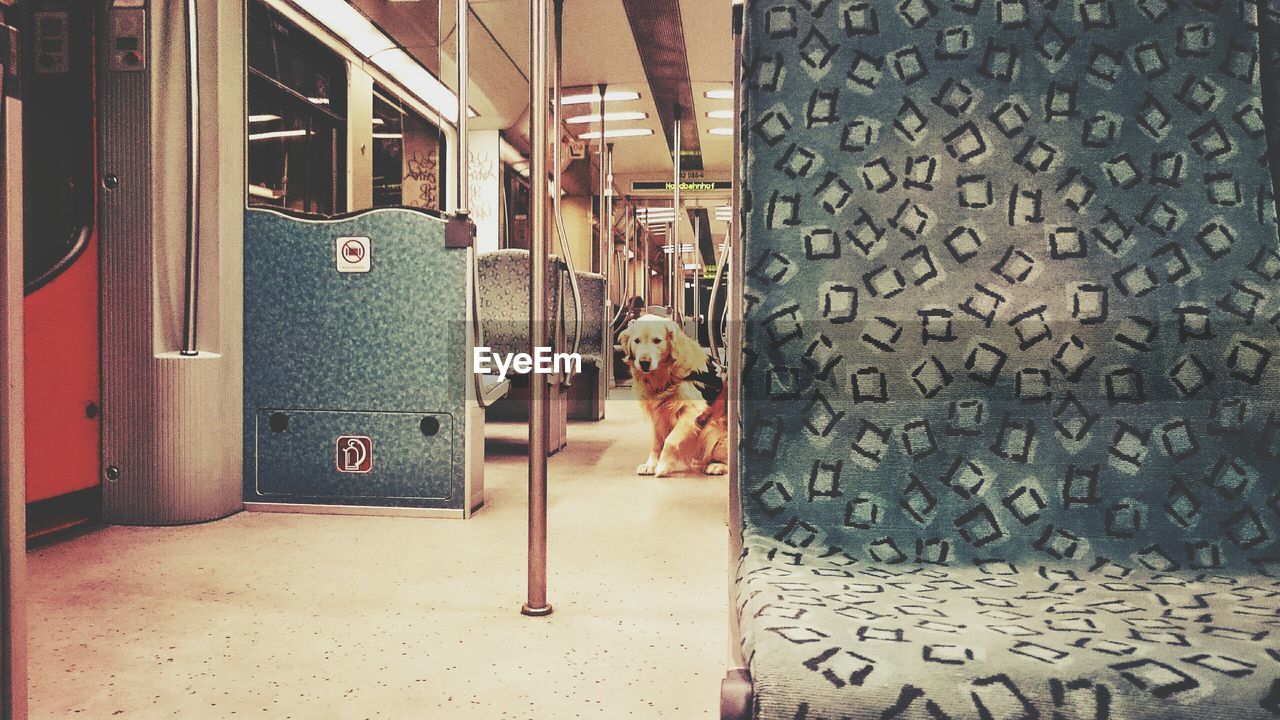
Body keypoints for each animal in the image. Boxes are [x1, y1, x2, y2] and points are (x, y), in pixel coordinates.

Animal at [622, 313, 732, 476]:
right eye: (636, 341)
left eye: (657, 340)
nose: (644, 362)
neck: (666, 375)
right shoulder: (658, 414)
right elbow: (657, 442)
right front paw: (650, 464)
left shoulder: (693, 409)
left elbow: (670, 440)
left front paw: (662, 466)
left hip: (711, 430)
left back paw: (716, 466)